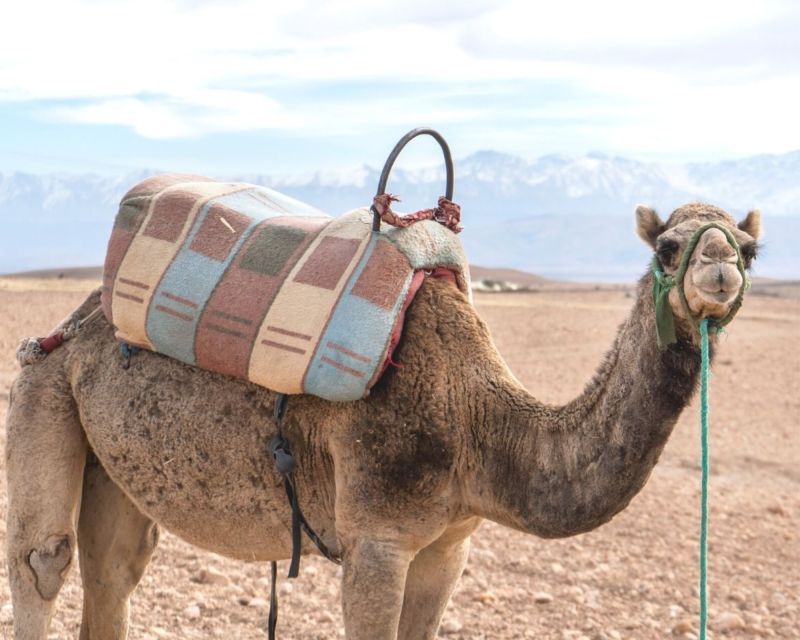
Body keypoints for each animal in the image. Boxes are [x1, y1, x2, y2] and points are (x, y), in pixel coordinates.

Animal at [3, 199, 760, 636]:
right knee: (44, 560)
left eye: (752, 249)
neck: (480, 421)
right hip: (42, 386)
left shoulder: (449, 547)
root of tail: (74, 323)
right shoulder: (376, 539)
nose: (719, 269)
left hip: (114, 461)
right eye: (666, 247)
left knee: (115, 569)